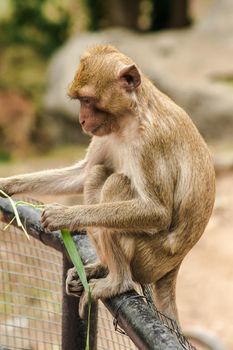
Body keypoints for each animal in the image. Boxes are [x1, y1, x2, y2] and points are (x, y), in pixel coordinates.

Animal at [0, 45, 216, 324]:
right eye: (80, 101)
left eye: (87, 100)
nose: (81, 120)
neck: (130, 118)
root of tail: (173, 267)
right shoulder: (105, 132)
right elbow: (82, 175)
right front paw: (6, 184)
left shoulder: (152, 142)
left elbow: (158, 211)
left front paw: (64, 215)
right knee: (97, 175)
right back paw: (102, 268)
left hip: (149, 258)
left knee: (116, 183)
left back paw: (118, 282)